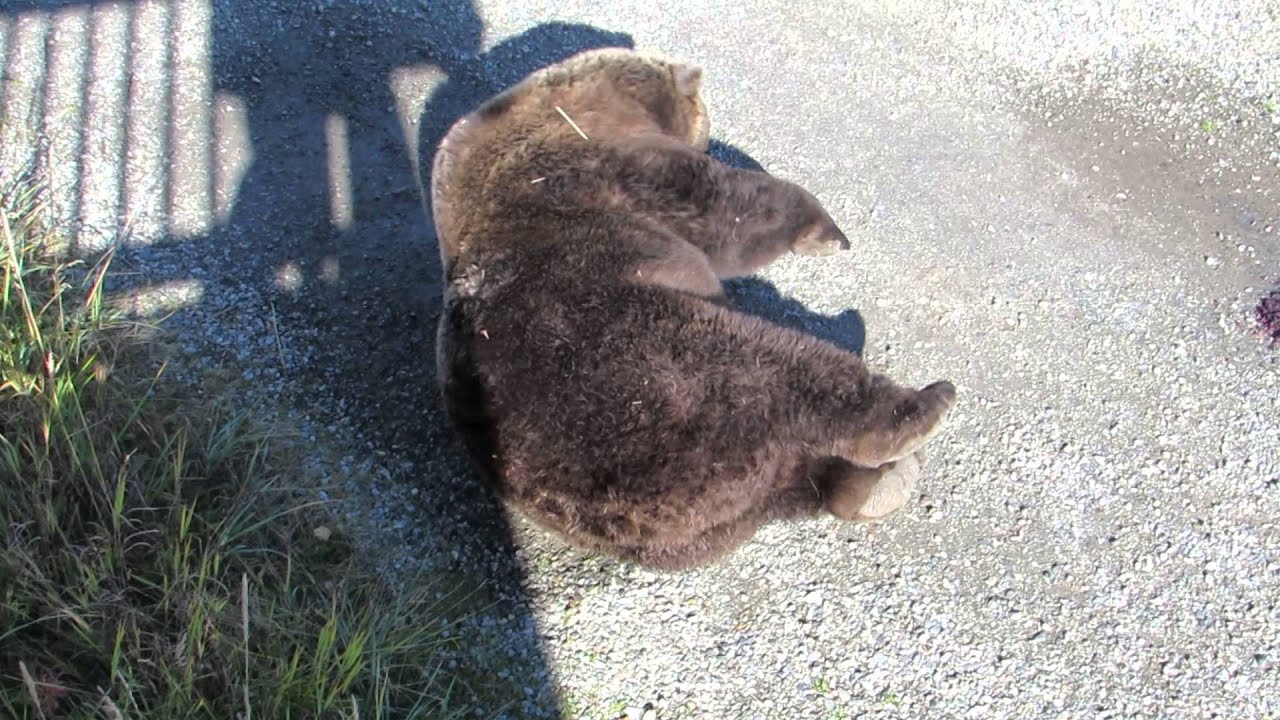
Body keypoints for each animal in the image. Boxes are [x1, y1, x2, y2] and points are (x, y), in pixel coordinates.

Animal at [429, 48, 955, 571]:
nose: (707, 134)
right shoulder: (613, 160)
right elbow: (729, 209)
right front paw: (827, 234)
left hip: (716, 493)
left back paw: (884, 485)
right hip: (668, 371)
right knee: (800, 376)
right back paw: (926, 405)